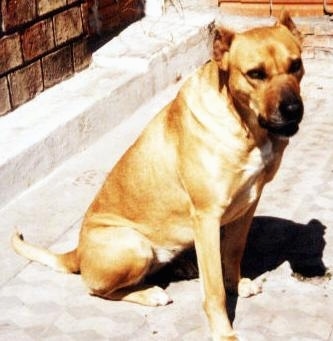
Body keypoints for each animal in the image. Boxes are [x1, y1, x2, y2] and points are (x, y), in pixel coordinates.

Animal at [11, 11, 304, 340]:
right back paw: (149, 292)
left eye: (296, 65)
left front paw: (236, 284)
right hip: (133, 245)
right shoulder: (207, 216)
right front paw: (223, 330)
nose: (293, 109)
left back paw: (182, 266)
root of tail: (78, 253)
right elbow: (213, 288)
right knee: (97, 290)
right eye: (255, 74)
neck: (245, 125)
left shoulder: (248, 205)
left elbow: (232, 253)